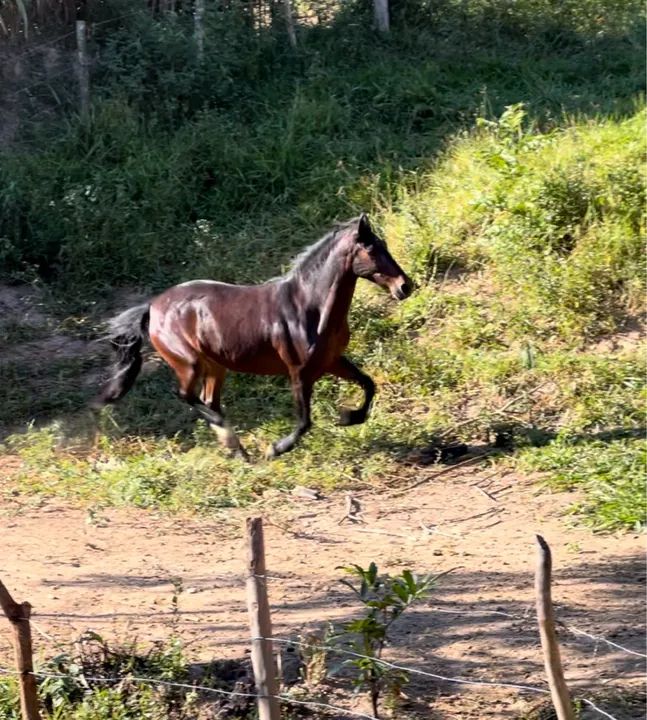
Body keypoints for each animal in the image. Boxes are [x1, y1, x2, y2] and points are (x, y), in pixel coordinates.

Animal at [95, 214, 413, 458]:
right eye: (372, 251)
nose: (405, 286)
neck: (309, 307)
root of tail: (152, 306)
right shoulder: (299, 372)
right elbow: (304, 421)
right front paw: (276, 449)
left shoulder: (332, 361)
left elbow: (369, 384)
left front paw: (348, 417)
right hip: (189, 364)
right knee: (188, 396)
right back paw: (230, 437)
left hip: (216, 366)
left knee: (208, 400)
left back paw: (238, 452)